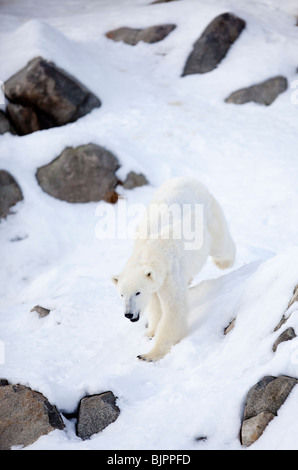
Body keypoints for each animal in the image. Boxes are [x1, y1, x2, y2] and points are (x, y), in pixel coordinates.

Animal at [112, 177, 235, 364]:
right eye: (121, 294)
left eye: (138, 292)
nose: (128, 314)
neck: (152, 249)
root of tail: (188, 179)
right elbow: (155, 305)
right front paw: (150, 332)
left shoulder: (170, 272)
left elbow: (174, 310)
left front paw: (148, 355)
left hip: (209, 214)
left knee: (221, 244)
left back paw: (225, 262)